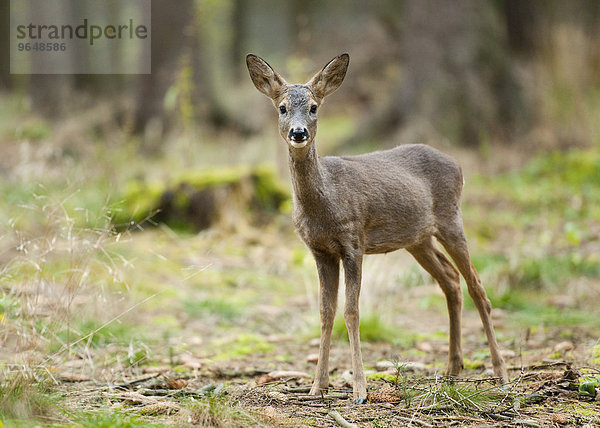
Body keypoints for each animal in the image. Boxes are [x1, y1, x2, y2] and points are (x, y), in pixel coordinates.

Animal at [246, 51, 508, 402]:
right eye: (282, 107)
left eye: (314, 107)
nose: (298, 133)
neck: (324, 202)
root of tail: (458, 164)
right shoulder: (319, 250)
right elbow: (325, 312)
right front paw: (317, 387)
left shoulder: (353, 242)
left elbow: (351, 312)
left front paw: (359, 389)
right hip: (418, 239)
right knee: (451, 281)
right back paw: (452, 371)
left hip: (451, 218)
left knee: (477, 286)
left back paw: (501, 374)